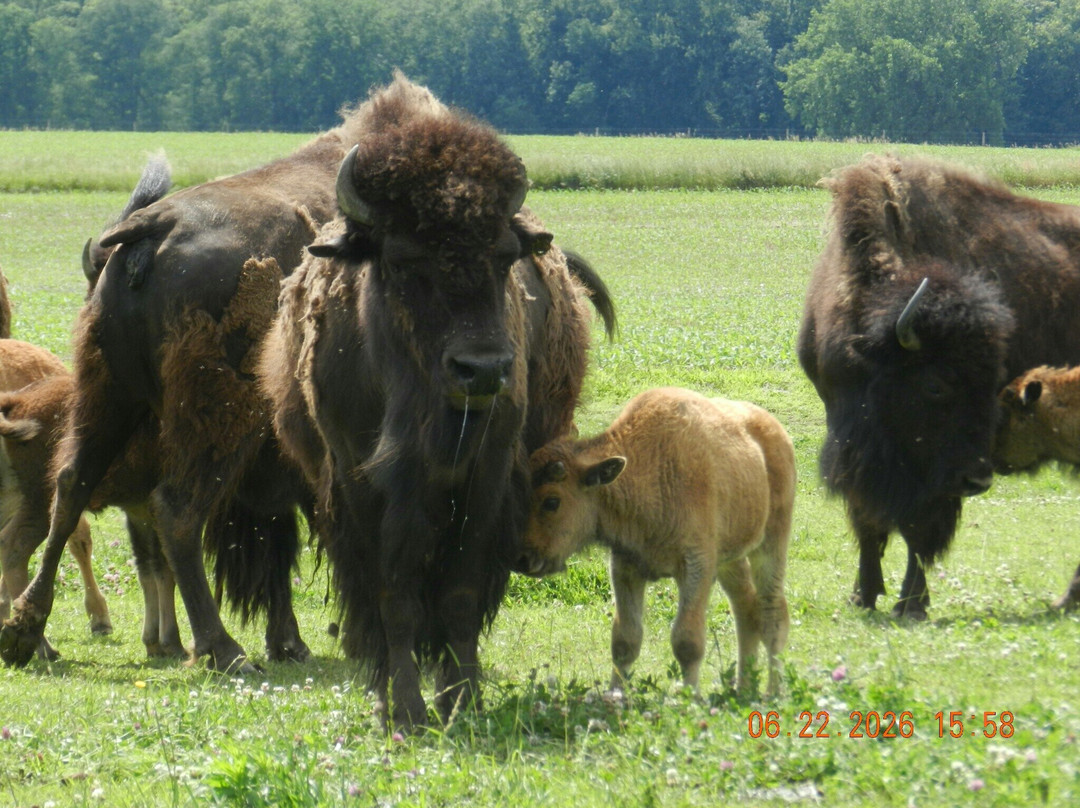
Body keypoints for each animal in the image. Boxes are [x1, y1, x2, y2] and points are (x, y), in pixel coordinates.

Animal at [258, 74, 615, 731]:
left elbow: (460, 593)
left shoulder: (486, 480)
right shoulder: (364, 486)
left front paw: (462, 701)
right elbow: (392, 595)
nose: (484, 368)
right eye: (404, 258)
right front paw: (403, 709)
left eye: (505, 255)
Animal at [798, 154, 1080, 619]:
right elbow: (867, 518)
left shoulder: (935, 471)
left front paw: (911, 605)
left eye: (995, 380)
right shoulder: (850, 438)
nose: (979, 480)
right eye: (935, 384)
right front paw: (863, 596)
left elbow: (920, 529)